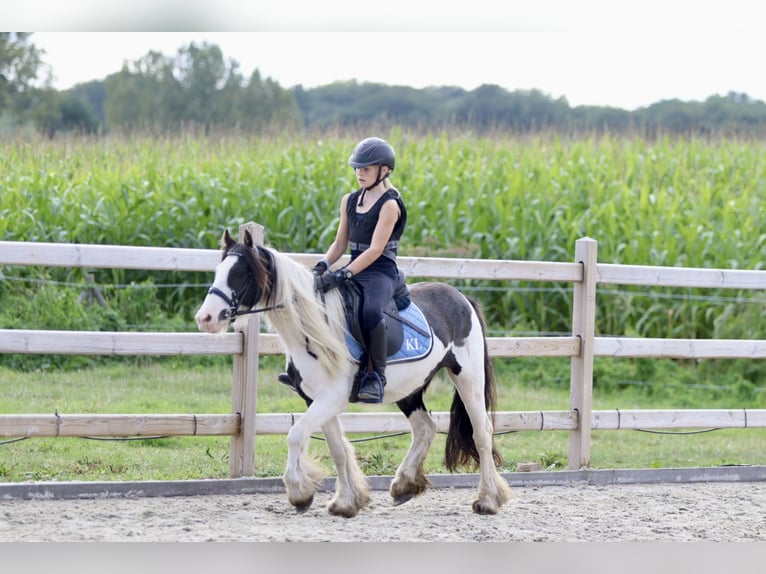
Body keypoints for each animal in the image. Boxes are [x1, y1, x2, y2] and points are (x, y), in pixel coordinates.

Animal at [195, 231, 512, 520]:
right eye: (219, 271)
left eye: (240, 273)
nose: (205, 318)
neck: (312, 330)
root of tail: (462, 298)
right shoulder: (316, 399)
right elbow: (336, 448)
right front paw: (346, 503)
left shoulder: (332, 398)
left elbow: (296, 436)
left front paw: (300, 493)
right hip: (410, 390)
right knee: (425, 427)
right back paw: (404, 486)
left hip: (468, 379)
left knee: (481, 433)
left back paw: (487, 500)